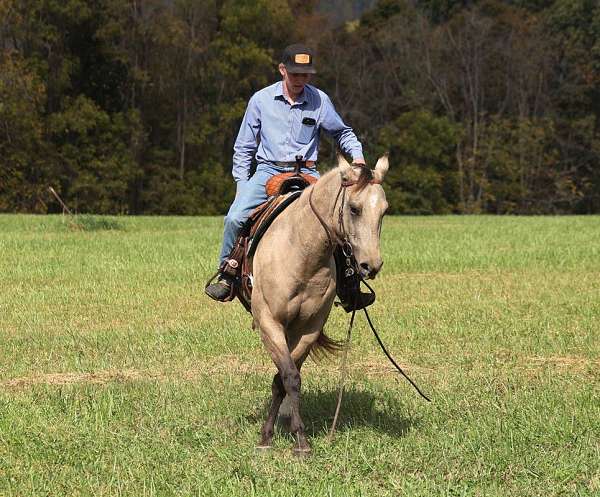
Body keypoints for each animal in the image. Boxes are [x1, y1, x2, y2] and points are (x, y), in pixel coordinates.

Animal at [251, 155, 392, 454]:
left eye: (384, 211)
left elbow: (284, 379)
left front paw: (289, 436)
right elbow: (289, 376)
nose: (371, 266)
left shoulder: (309, 328)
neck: (302, 252)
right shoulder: (269, 323)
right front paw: (284, 439)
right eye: (354, 208)